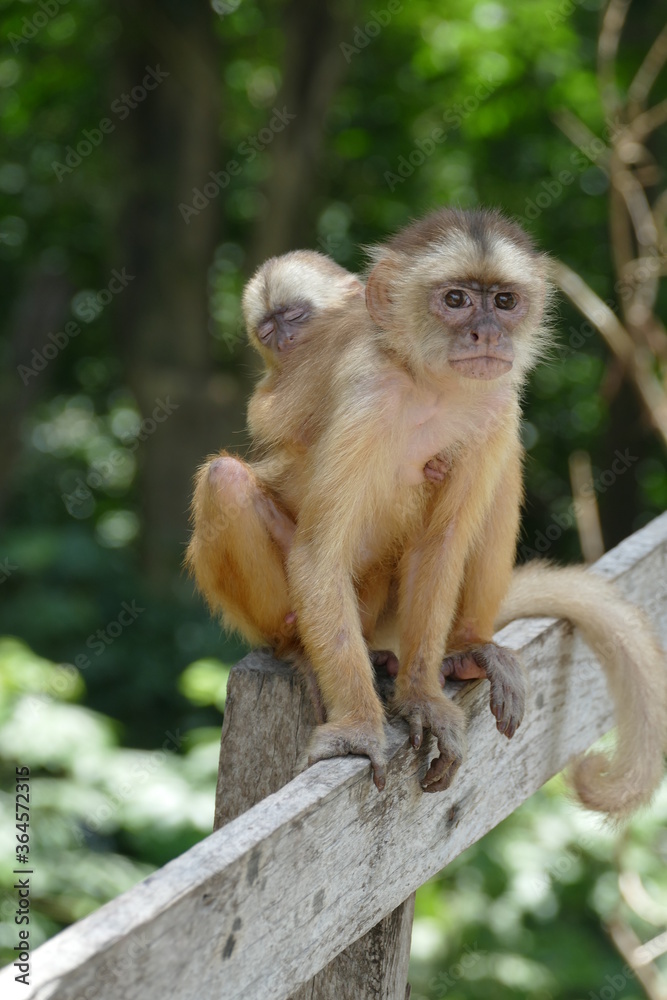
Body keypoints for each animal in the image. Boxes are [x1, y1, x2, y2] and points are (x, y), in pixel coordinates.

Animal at [187, 207, 667, 817]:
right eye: (456, 300)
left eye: (504, 301)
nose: (486, 332)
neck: (433, 387)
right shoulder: (369, 392)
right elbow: (318, 556)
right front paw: (359, 729)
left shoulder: (496, 402)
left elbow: (440, 546)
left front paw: (422, 697)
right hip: (324, 612)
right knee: (226, 482)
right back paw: (299, 652)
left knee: (499, 471)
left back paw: (466, 649)